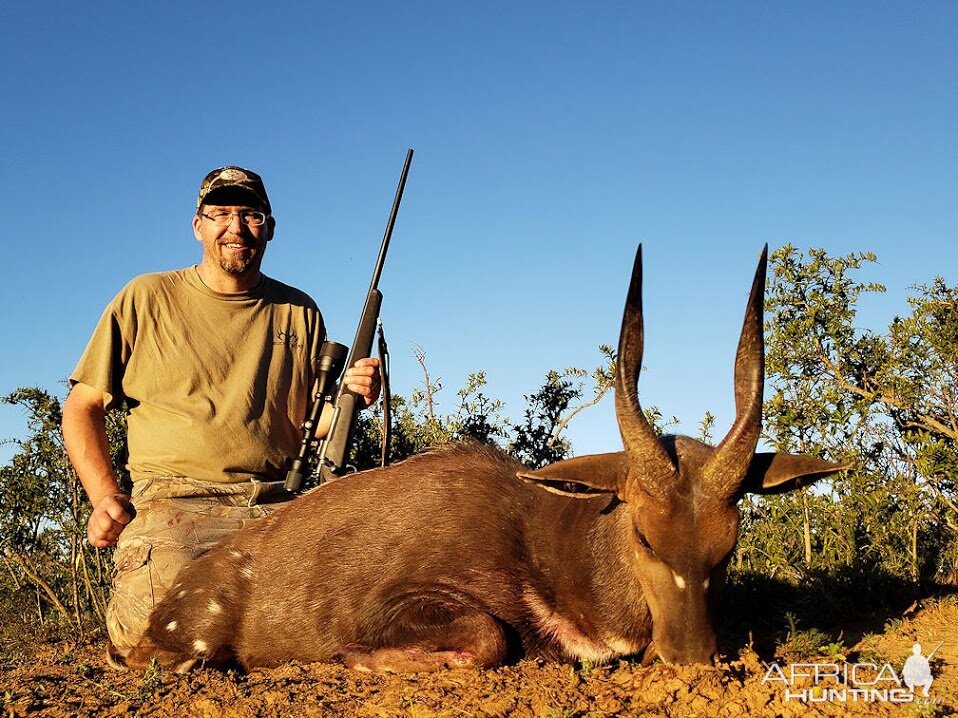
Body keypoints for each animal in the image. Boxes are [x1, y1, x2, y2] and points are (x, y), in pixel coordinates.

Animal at [125, 246, 848, 676]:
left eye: (729, 544)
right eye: (645, 534)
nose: (692, 659)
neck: (556, 545)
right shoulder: (396, 604)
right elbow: (488, 639)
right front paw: (351, 661)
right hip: (186, 648)